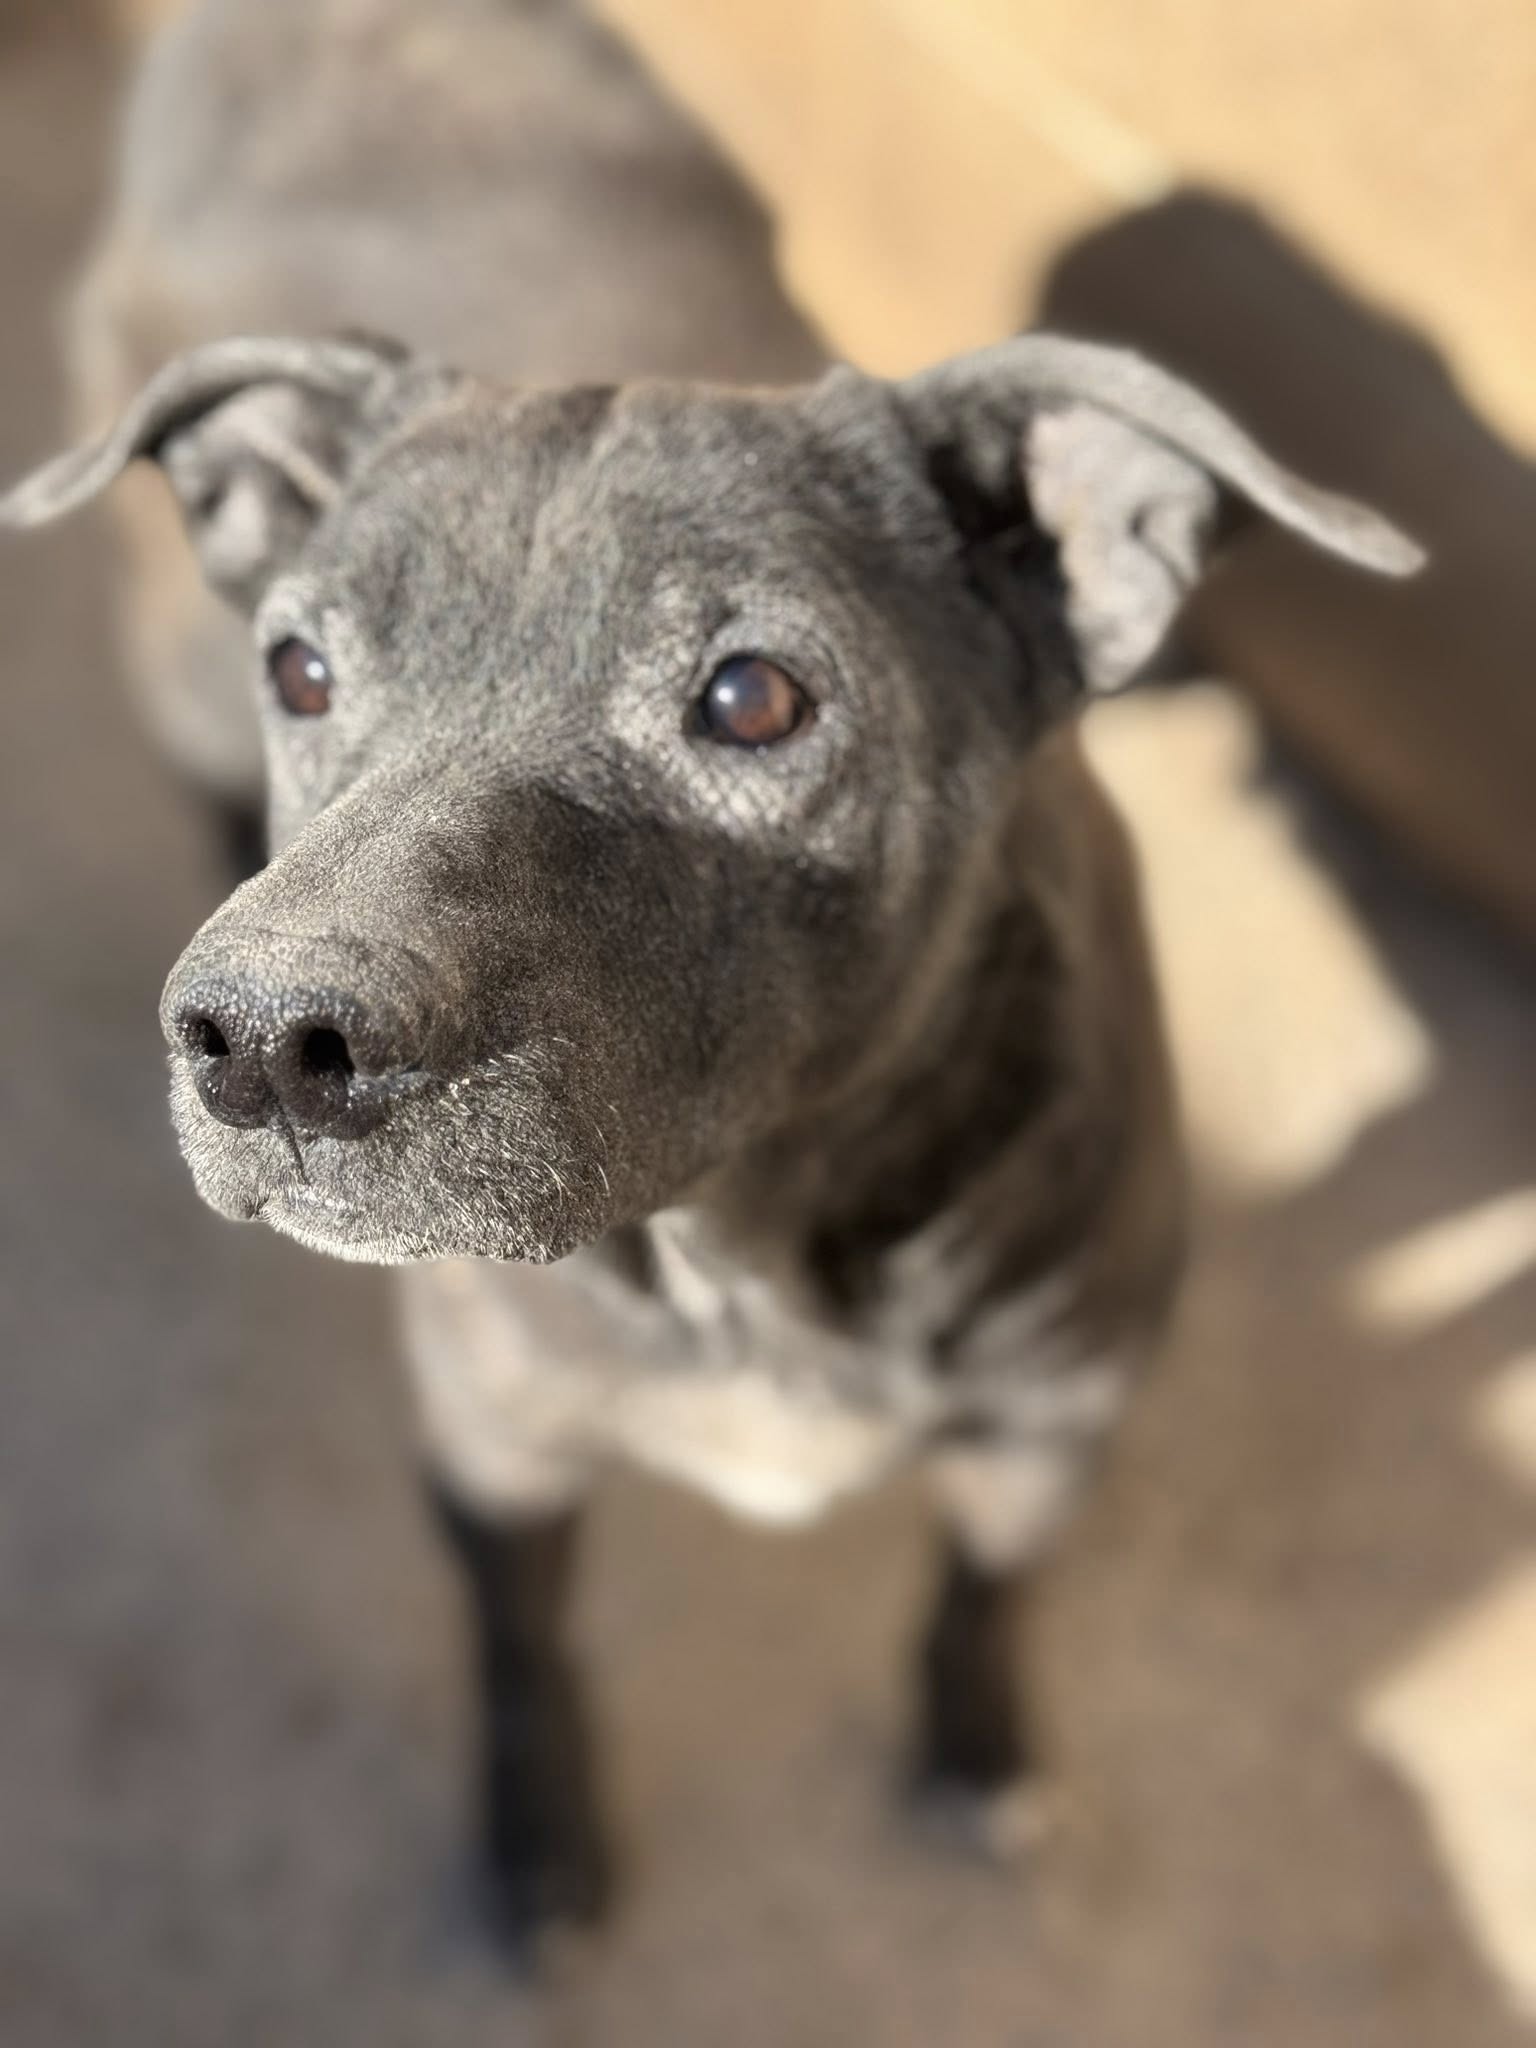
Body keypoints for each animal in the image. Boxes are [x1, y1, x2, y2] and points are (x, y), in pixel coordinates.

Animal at [5, 0, 1420, 1949]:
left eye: (753, 697)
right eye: (304, 666)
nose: (265, 1042)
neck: (747, 1254)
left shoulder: (1049, 1431)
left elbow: (984, 1596)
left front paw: (980, 1751)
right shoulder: (496, 1443)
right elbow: (524, 1645)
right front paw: (541, 1843)